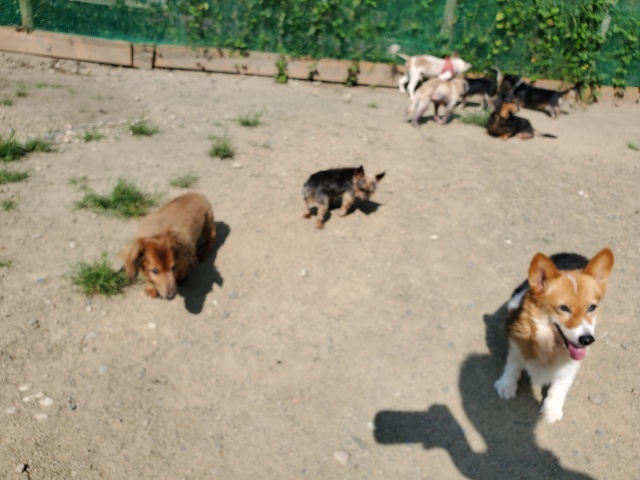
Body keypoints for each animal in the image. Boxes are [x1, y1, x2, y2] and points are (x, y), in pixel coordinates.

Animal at [494, 248, 614, 423]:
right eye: (563, 308)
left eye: (592, 307)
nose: (587, 340)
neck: (549, 344)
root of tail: (572, 253)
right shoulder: (516, 343)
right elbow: (513, 365)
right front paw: (506, 386)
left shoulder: (571, 365)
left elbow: (560, 386)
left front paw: (551, 410)